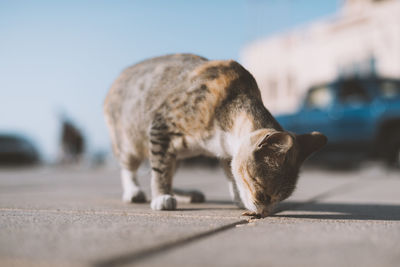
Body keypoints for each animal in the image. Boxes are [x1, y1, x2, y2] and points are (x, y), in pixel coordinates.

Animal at [103, 54, 324, 218]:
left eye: (280, 199)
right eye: (263, 194)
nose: (264, 213)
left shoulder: (227, 152)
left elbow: (231, 171)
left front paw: (237, 197)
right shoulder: (161, 124)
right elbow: (160, 170)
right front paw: (161, 196)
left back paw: (186, 194)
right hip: (129, 139)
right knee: (130, 166)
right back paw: (134, 191)